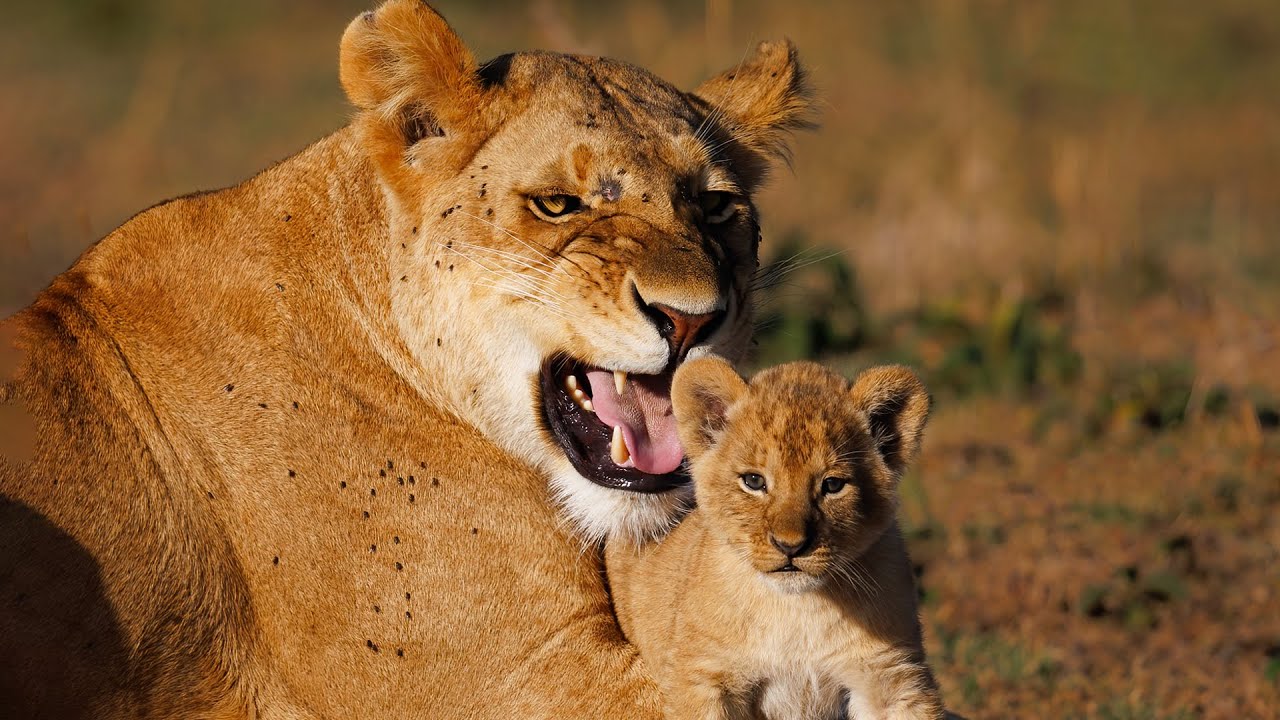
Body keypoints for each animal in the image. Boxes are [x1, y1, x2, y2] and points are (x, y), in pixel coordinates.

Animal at [607, 359, 944, 719]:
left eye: (832, 485)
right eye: (754, 481)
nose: (790, 546)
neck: (796, 610)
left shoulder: (891, 678)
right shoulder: (703, 678)